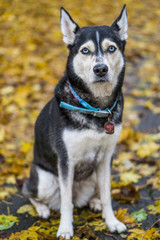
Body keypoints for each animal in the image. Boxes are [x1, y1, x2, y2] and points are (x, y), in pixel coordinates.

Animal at [22, 4, 127, 239]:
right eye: (85, 50)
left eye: (112, 48)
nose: (100, 69)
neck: (95, 107)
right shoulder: (66, 160)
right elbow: (65, 202)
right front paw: (65, 229)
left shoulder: (106, 157)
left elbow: (107, 195)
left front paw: (112, 222)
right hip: (44, 180)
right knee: (30, 191)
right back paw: (43, 209)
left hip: (93, 175)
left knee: (90, 195)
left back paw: (95, 203)